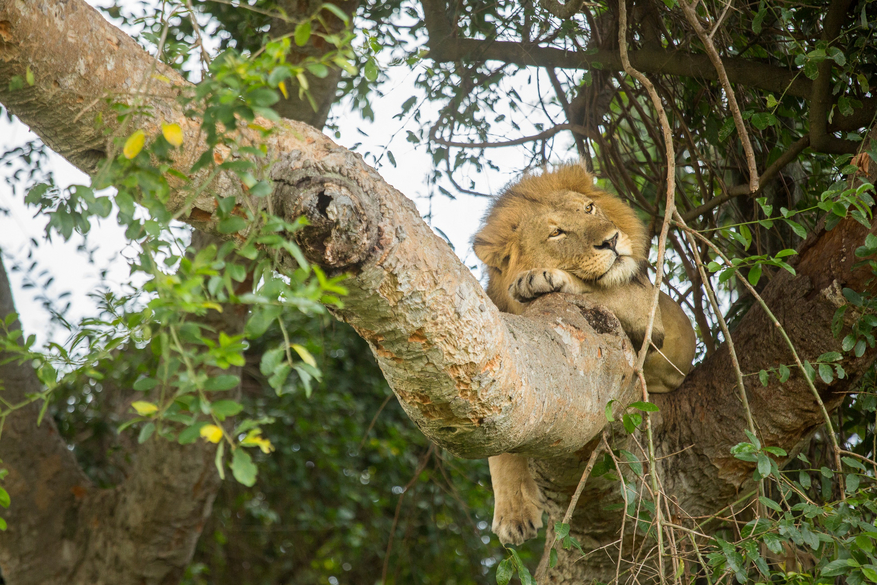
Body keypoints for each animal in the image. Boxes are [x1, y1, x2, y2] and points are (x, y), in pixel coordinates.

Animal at [468, 162, 696, 544]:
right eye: (557, 233)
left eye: (589, 209)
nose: (611, 240)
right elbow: (501, 448)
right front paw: (514, 514)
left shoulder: (645, 309)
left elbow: (598, 287)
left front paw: (538, 278)